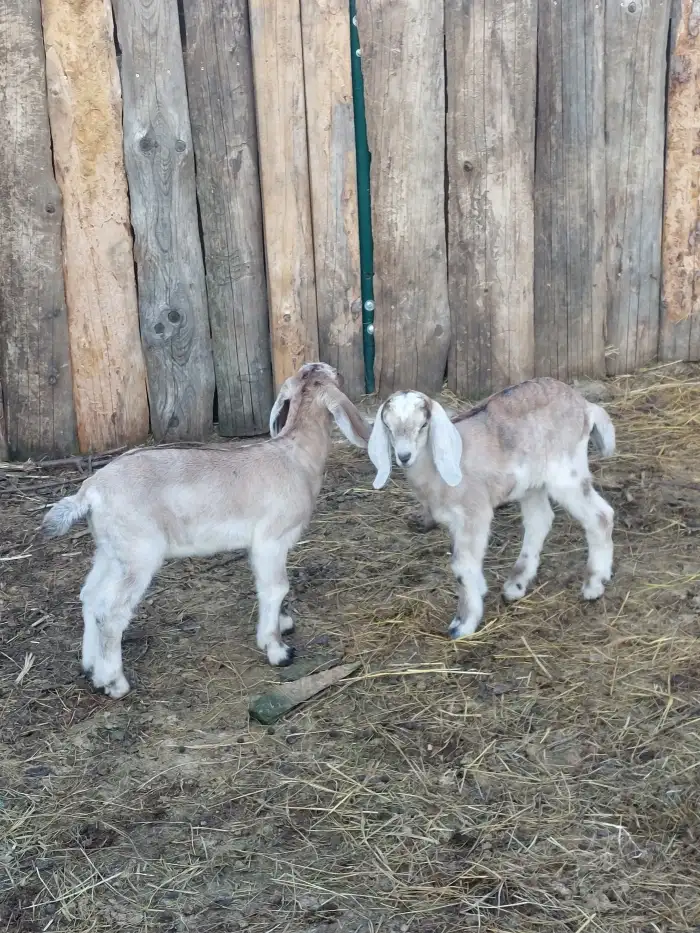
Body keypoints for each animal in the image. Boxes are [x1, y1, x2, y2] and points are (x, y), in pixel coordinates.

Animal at [41, 362, 370, 698]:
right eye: (333, 375)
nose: (339, 373)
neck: (296, 457)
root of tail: (90, 492)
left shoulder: (259, 545)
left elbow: (264, 586)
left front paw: (281, 624)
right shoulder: (271, 539)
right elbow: (276, 588)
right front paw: (278, 649)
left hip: (111, 551)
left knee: (91, 596)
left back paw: (92, 668)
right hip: (139, 554)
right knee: (112, 613)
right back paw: (114, 682)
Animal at [367, 377, 616, 640]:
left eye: (424, 424)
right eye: (388, 426)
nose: (404, 456)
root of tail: (585, 406)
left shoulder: (474, 513)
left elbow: (461, 566)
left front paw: (463, 623)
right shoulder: (457, 522)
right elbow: (467, 563)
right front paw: (479, 591)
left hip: (566, 472)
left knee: (600, 516)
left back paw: (594, 584)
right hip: (531, 483)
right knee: (540, 520)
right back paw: (517, 584)